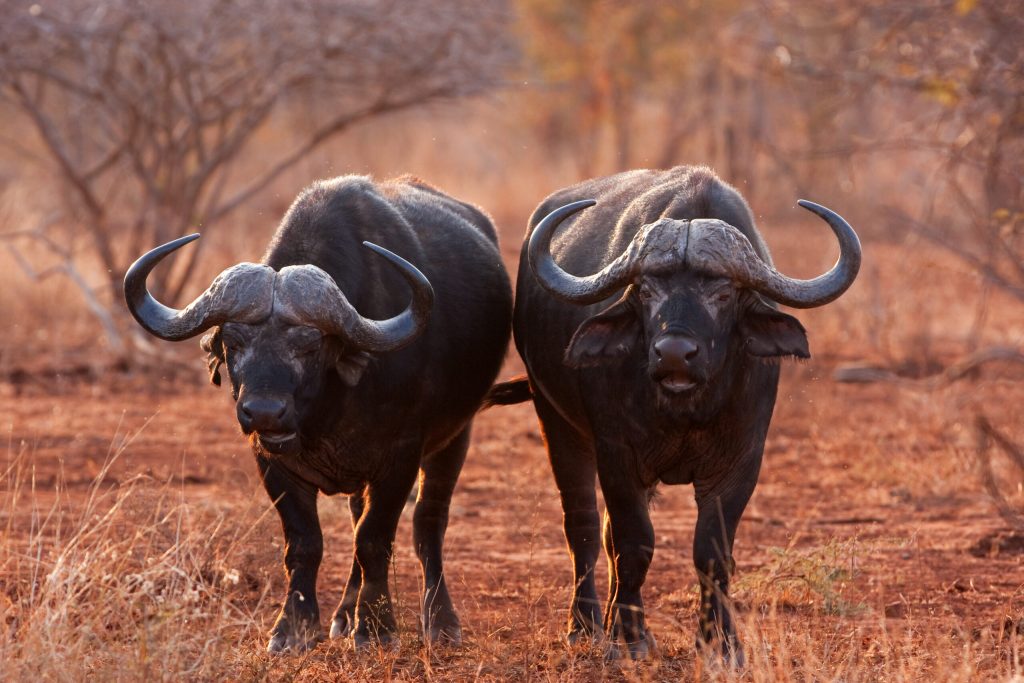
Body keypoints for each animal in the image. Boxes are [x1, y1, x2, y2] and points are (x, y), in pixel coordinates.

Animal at [124, 175, 513, 653]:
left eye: (309, 345)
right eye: (233, 342)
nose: (264, 412)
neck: (329, 409)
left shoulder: (401, 457)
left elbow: (375, 539)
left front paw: (376, 629)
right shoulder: (271, 461)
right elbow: (305, 542)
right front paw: (293, 628)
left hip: (457, 436)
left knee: (428, 522)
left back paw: (440, 621)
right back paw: (344, 614)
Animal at [498, 166, 861, 662]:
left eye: (723, 293)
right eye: (647, 290)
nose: (673, 354)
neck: (686, 408)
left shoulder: (741, 460)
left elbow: (712, 551)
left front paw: (720, 643)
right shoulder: (617, 455)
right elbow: (634, 543)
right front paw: (631, 640)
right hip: (554, 421)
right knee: (585, 527)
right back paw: (586, 625)